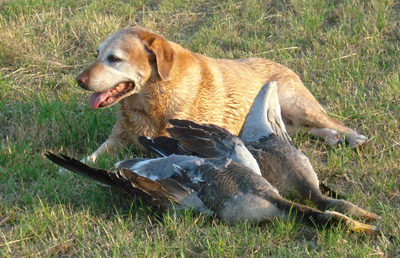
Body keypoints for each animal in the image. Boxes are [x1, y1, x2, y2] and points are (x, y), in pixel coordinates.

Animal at [75, 26, 366, 163]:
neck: (152, 101)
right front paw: (72, 166)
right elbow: (93, 155)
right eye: (97, 54)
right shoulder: (117, 138)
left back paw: (352, 137)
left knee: (332, 121)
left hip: (295, 103)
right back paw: (331, 137)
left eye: (114, 58)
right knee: (307, 129)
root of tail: (281, 64)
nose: (79, 80)